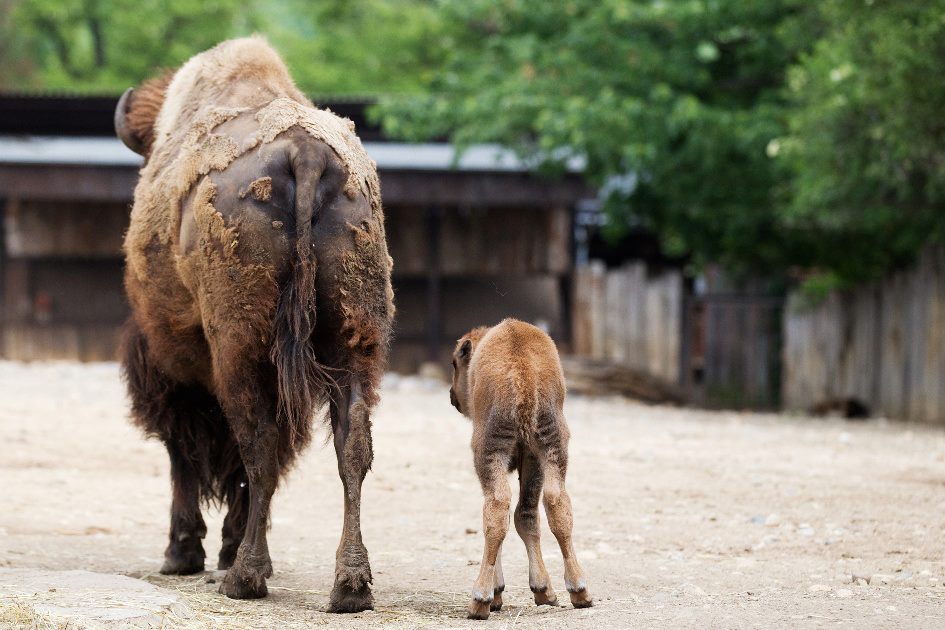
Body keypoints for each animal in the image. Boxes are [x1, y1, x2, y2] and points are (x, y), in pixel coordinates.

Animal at [115, 37, 394, 616]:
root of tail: (305, 154)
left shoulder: (170, 364)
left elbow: (185, 450)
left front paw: (184, 552)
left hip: (241, 346)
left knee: (256, 445)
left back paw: (244, 576)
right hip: (356, 341)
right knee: (351, 446)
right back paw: (350, 585)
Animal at [448, 320, 592, 624]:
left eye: (455, 363)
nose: (453, 396)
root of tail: (522, 372)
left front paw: (496, 593)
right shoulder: (532, 459)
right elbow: (528, 515)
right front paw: (544, 590)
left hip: (490, 451)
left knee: (497, 509)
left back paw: (479, 600)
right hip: (551, 447)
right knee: (554, 505)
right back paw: (578, 591)